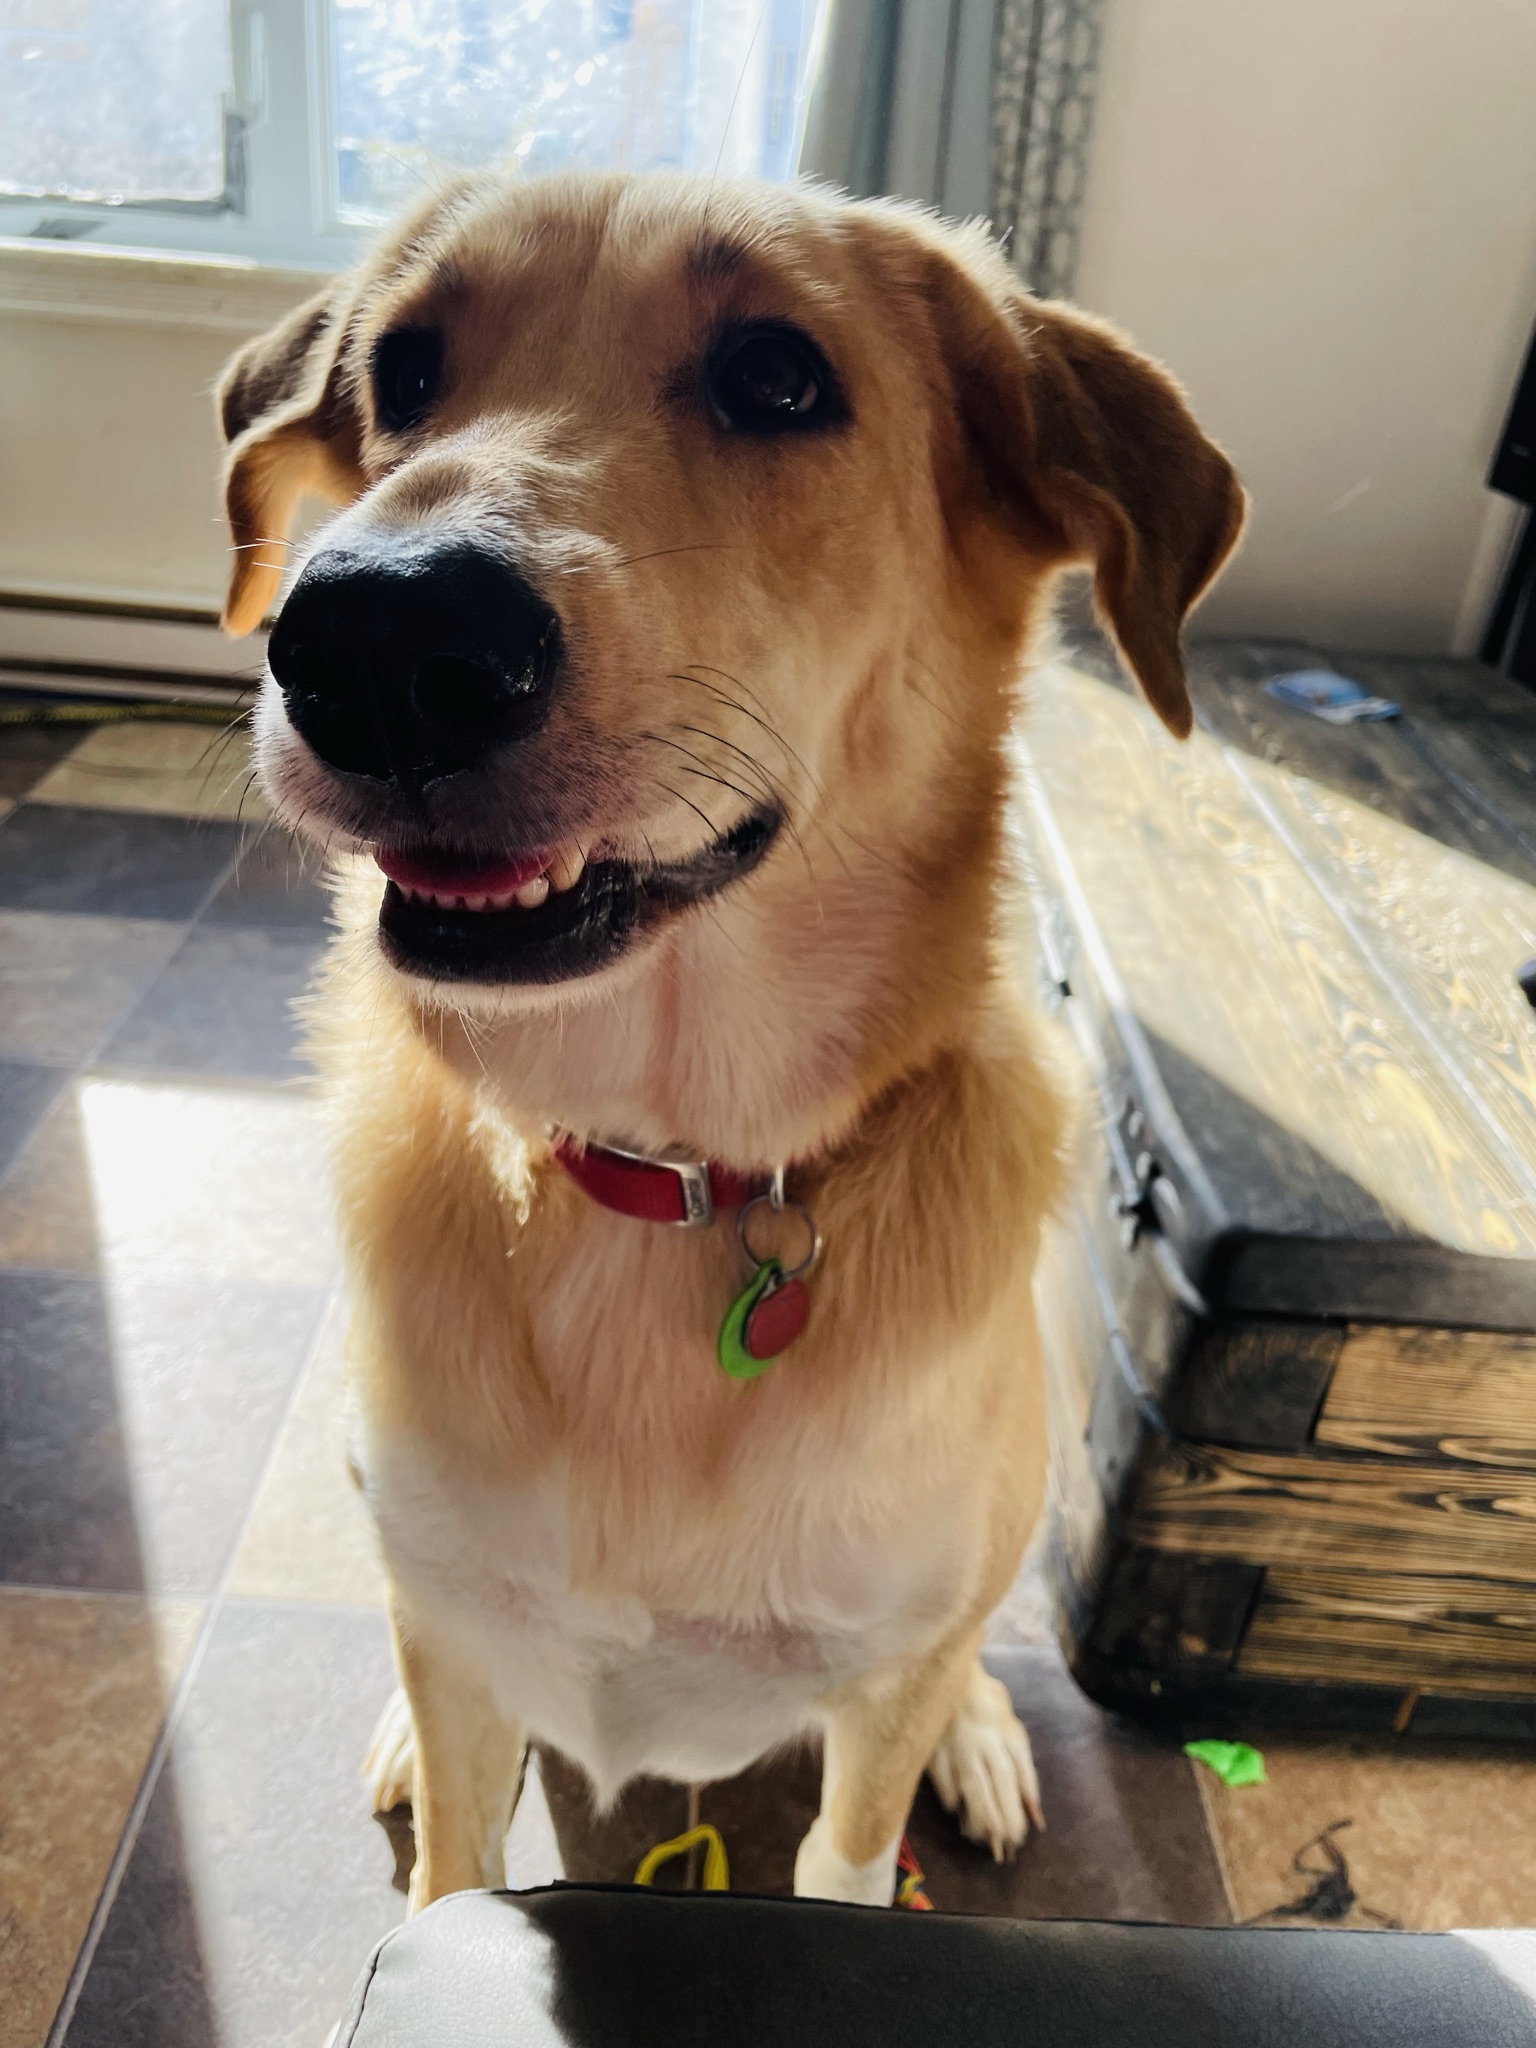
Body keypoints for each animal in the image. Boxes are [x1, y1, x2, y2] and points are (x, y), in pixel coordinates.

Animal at [218, 171, 1242, 1910]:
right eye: (401, 373)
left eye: (778, 377)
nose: (370, 640)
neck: (671, 1165)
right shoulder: (464, 1651)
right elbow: (456, 1860)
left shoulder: (873, 1721)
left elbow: (853, 1847)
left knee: (970, 1652)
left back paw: (985, 1736)